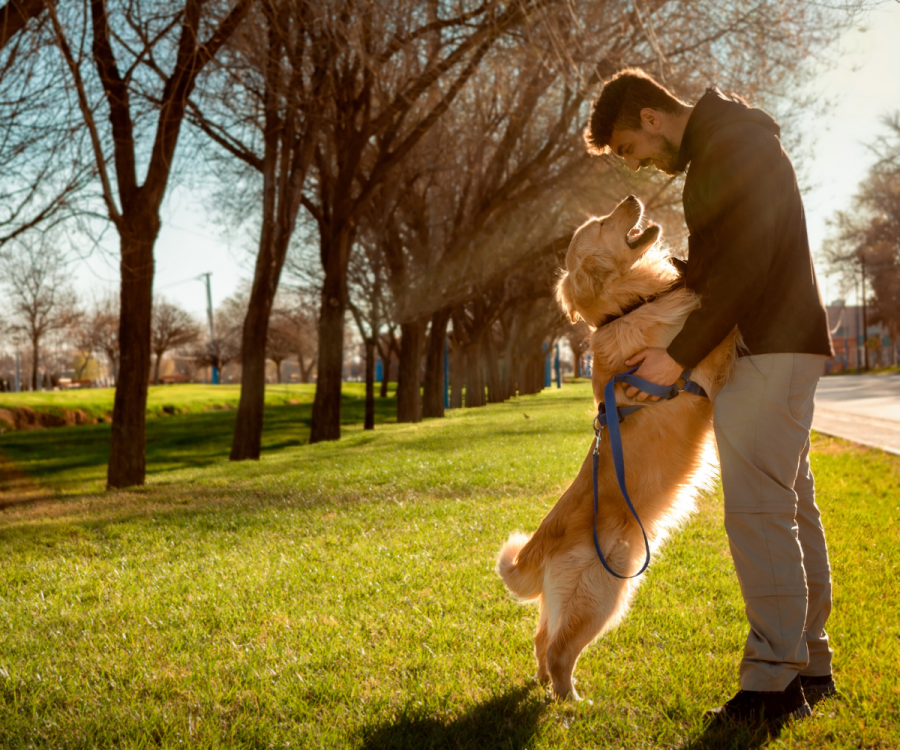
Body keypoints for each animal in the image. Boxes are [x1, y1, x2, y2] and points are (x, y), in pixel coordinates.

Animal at [492, 197, 740, 704]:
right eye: (604, 223)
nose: (630, 198)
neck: (626, 309)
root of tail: (539, 547)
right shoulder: (703, 353)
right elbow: (725, 321)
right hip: (605, 590)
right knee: (559, 651)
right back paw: (573, 703)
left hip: (568, 600)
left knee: (541, 639)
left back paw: (546, 687)